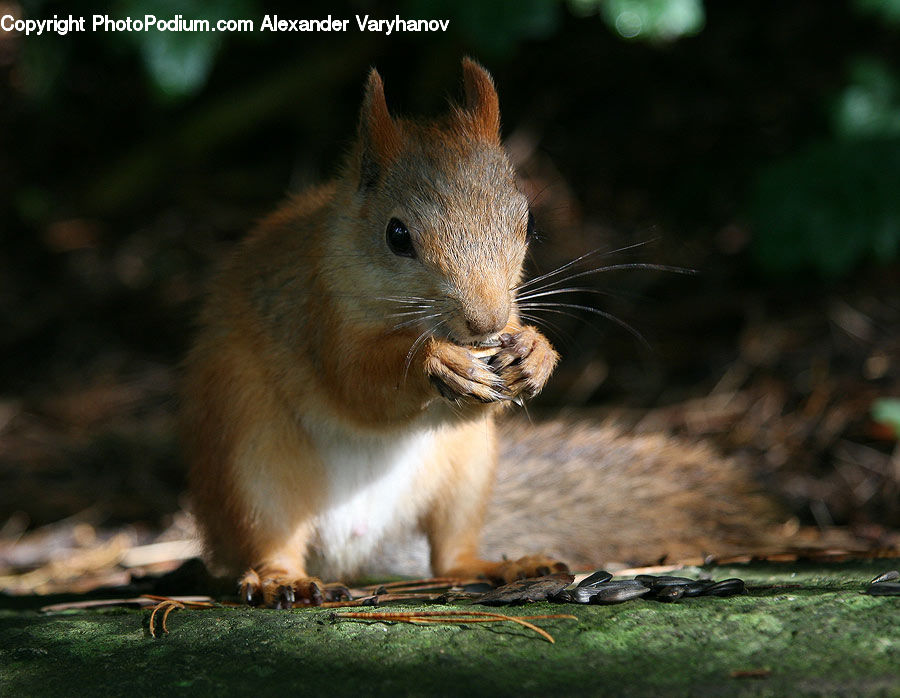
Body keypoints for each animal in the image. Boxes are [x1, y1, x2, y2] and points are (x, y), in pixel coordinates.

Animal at [182, 59, 778, 608]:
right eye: (397, 235)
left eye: (529, 221)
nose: (486, 322)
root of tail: (355, 551)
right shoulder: (317, 311)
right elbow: (358, 382)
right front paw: (435, 361)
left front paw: (536, 352)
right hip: (252, 457)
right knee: (269, 540)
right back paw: (282, 581)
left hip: (466, 470)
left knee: (450, 556)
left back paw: (503, 566)